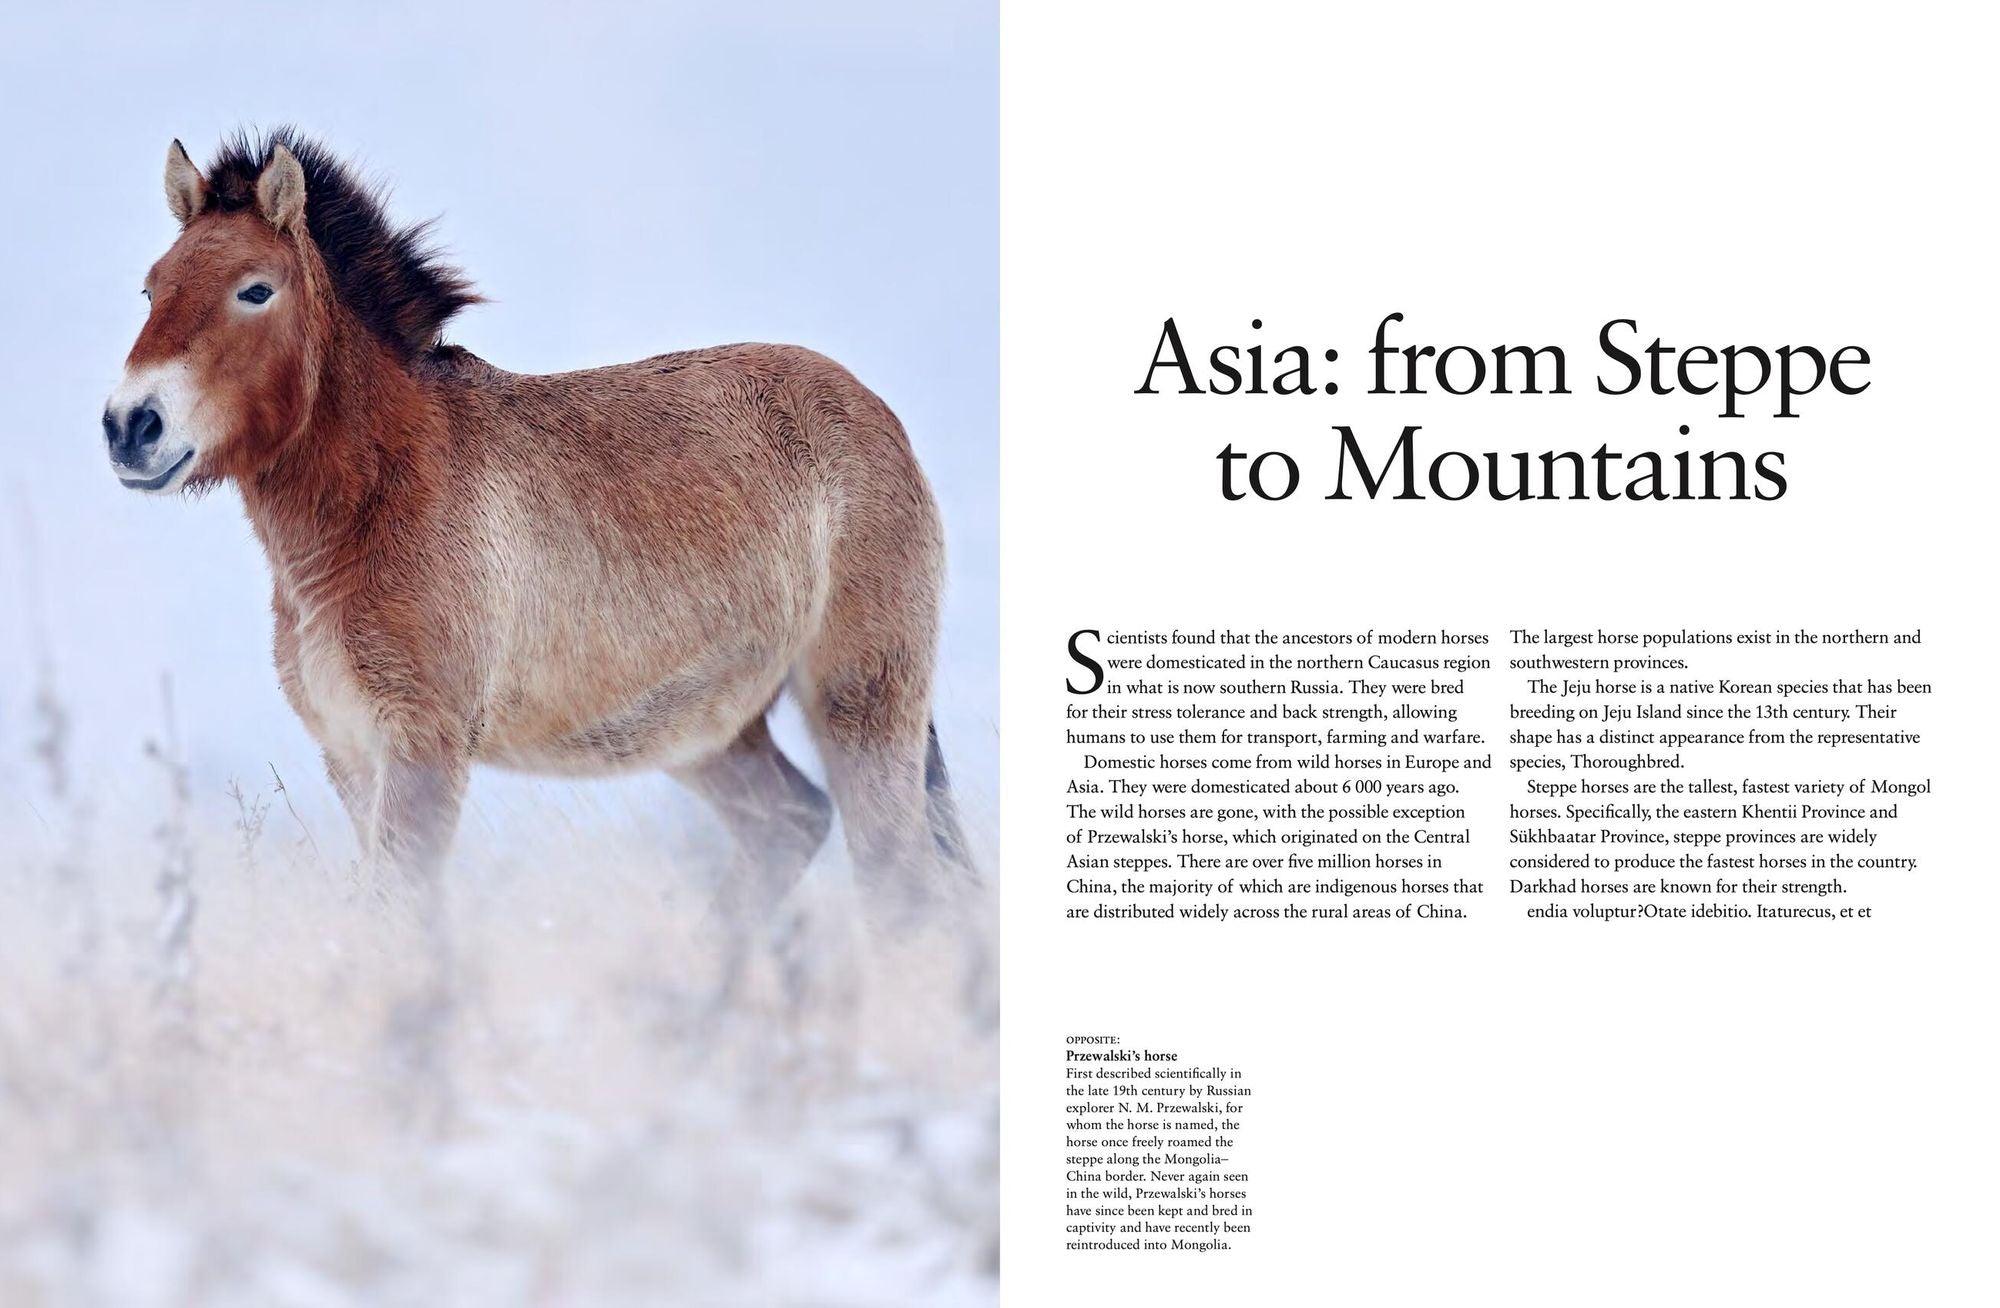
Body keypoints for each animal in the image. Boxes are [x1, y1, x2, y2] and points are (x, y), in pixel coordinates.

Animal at [103, 130, 974, 934]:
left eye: (255, 290)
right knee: (791, 827)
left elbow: (401, 916)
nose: (131, 426)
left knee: (899, 881)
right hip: (709, 732)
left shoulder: (423, 749)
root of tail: (871, 413)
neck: (382, 497)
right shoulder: (351, 755)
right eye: (150, 290)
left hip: (860, 702)